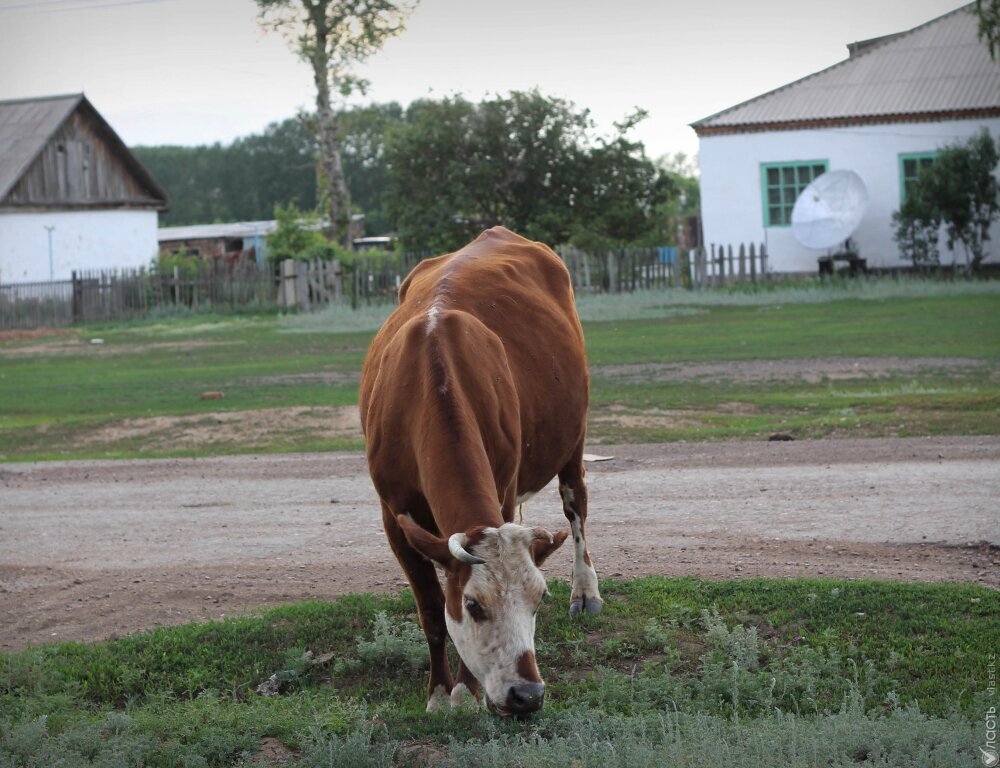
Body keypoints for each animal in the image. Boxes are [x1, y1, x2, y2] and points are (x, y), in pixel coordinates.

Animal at [364, 225, 604, 716]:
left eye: (539, 598)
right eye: (474, 605)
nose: (527, 695)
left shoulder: (505, 488)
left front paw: (465, 692)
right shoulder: (393, 515)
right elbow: (432, 609)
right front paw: (440, 693)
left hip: (573, 438)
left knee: (576, 507)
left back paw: (586, 590)